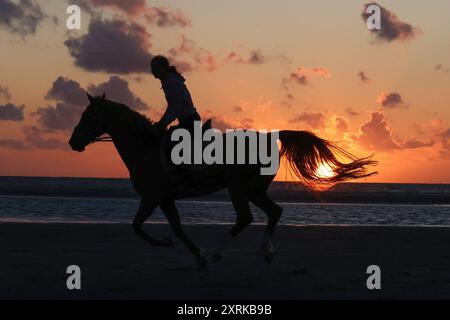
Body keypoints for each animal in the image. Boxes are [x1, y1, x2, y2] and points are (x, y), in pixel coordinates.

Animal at [68, 93, 378, 268]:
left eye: (88, 115)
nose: (73, 143)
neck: (144, 146)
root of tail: (270, 135)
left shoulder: (153, 196)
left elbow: (138, 226)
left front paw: (176, 247)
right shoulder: (165, 198)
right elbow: (176, 229)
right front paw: (197, 256)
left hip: (238, 188)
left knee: (245, 218)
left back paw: (219, 253)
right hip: (253, 189)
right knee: (274, 212)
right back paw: (265, 252)